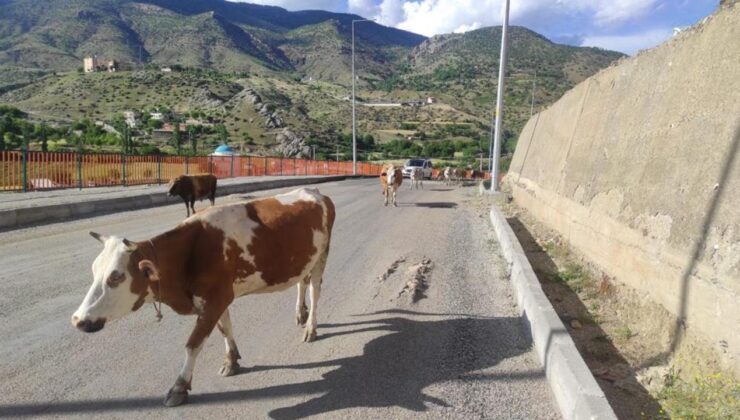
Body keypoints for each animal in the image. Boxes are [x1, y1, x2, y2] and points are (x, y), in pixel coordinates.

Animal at [71, 188, 336, 406]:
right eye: (94, 270)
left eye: (116, 276)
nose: (78, 320)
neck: (189, 254)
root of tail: (316, 193)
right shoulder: (217, 298)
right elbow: (225, 328)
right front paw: (231, 361)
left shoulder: (216, 299)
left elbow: (193, 343)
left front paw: (179, 386)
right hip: (305, 259)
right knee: (301, 283)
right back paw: (300, 314)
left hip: (322, 255)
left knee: (315, 290)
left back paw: (310, 327)